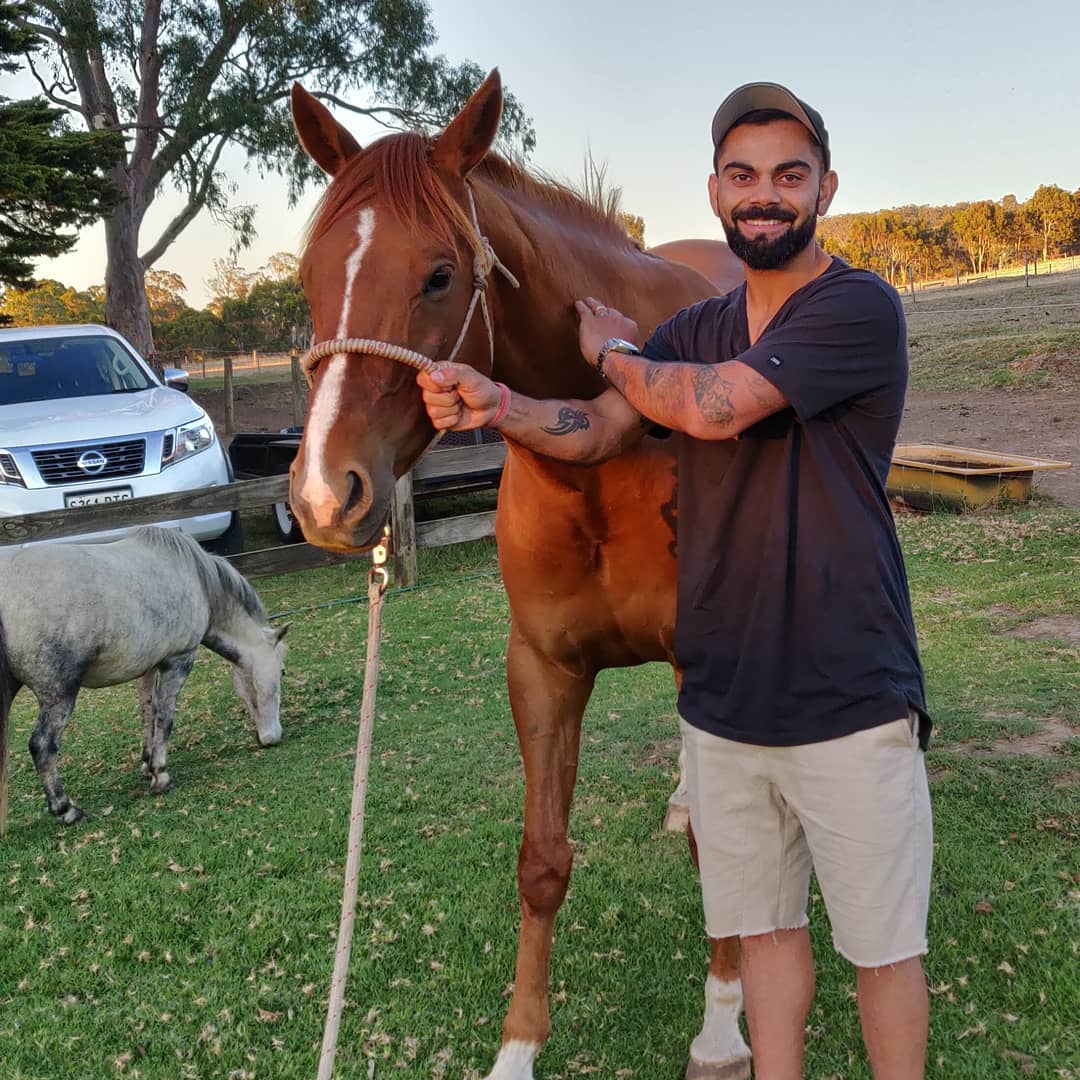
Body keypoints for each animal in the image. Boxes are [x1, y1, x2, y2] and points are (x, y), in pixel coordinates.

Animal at [0, 527, 291, 829]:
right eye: (282, 672)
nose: (271, 737)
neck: (196, 577)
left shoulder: (149, 666)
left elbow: (148, 712)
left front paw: (147, 761)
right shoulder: (178, 662)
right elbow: (165, 718)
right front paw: (160, 775)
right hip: (59, 695)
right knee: (42, 746)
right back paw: (66, 809)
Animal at [289, 71, 751, 1075]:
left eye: (439, 274)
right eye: (309, 279)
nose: (323, 496)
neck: (603, 451)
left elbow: (728, 855)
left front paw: (725, 1027)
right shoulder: (541, 668)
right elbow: (541, 863)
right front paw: (518, 1048)